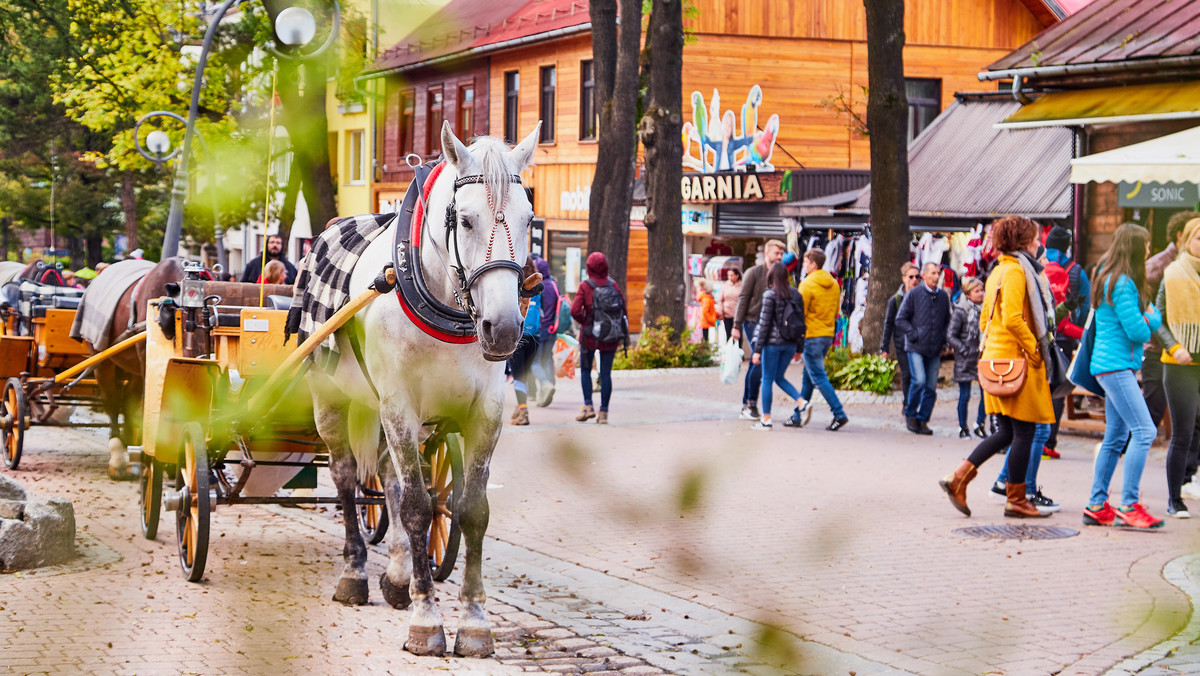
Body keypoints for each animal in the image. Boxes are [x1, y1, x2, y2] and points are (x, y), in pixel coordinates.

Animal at [307, 120, 542, 657]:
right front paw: (426, 619)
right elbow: (416, 508)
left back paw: (396, 575)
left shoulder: (485, 413)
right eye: (467, 220)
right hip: (332, 400)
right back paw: (355, 573)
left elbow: (470, 511)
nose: (503, 328)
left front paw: (474, 623)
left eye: (528, 219)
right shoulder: (399, 405)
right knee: (348, 479)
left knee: (388, 479)